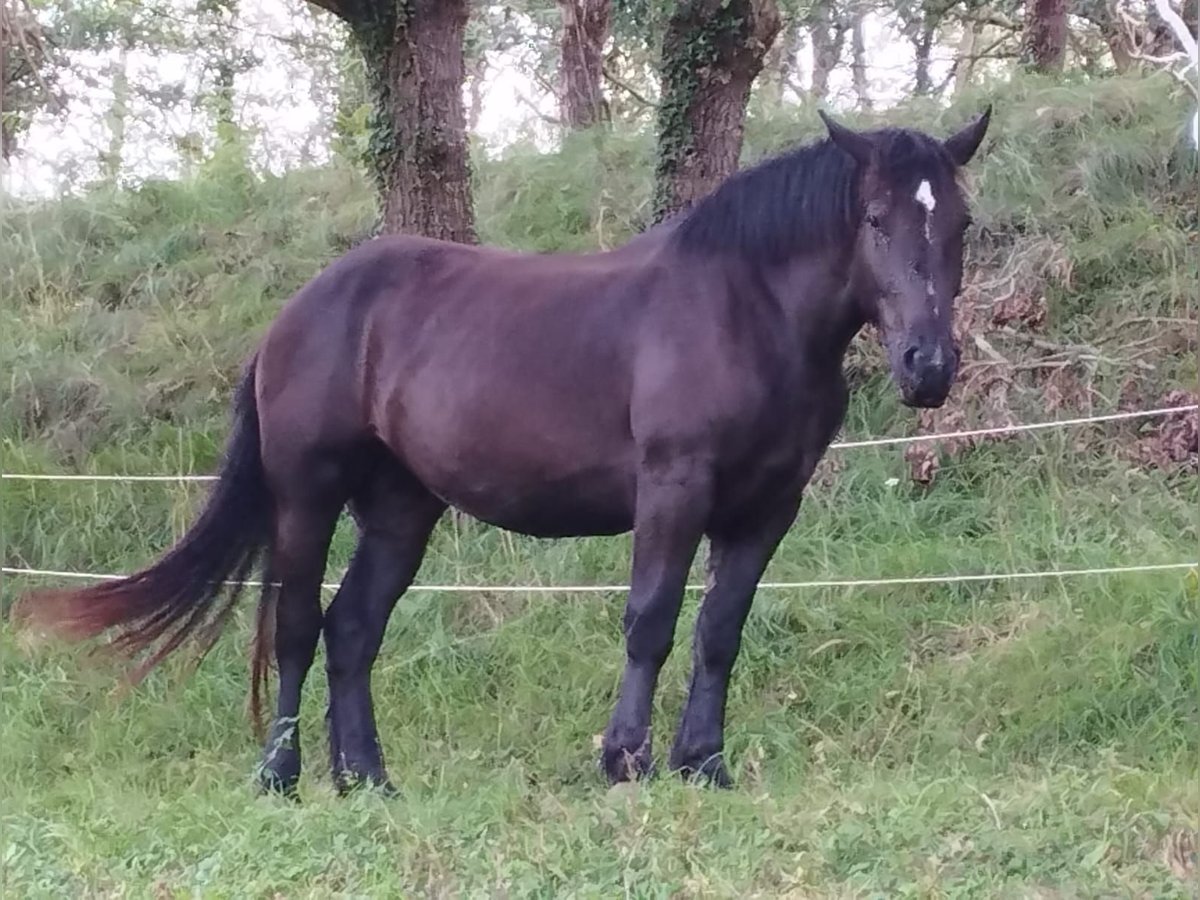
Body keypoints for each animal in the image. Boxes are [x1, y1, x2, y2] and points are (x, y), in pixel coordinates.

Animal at [16, 109, 993, 792]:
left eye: (960, 225)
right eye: (875, 217)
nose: (929, 367)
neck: (746, 310)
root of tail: (298, 312)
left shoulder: (765, 509)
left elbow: (720, 631)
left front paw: (704, 765)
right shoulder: (673, 488)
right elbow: (651, 621)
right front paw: (625, 761)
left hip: (400, 509)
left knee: (352, 629)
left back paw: (368, 781)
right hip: (307, 495)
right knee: (294, 628)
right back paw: (280, 777)